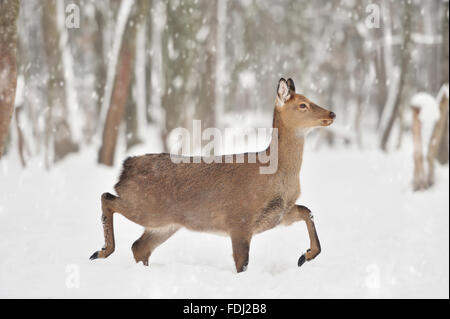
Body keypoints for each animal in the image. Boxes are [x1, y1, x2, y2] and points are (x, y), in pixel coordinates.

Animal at [89, 79, 336, 274]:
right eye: (302, 104)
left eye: (310, 98)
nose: (331, 113)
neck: (275, 176)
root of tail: (125, 168)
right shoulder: (239, 219)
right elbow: (242, 263)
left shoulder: (279, 213)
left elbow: (307, 211)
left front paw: (305, 255)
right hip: (145, 206)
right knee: (107, 198)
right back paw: (101, 251)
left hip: (166, 223)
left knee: (139, 247)